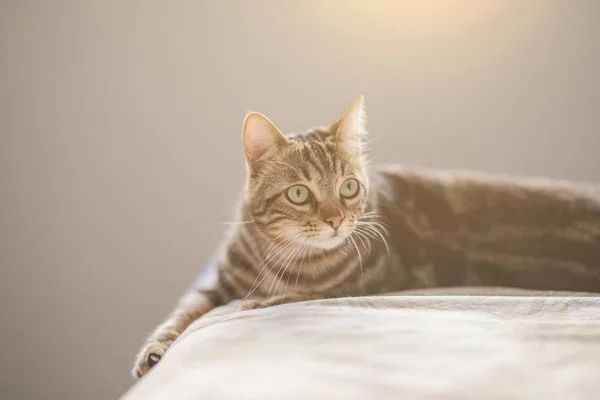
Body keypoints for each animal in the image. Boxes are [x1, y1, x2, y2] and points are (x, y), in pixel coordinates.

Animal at [132, 94, 600, 378]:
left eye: (349, 187)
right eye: (299, 193)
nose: (336, 220)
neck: (282, 255)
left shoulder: (374, 279)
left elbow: (301, 294)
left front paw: (262, 301)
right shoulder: (217, 280)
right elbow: (183, 312)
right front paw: (155, 349)